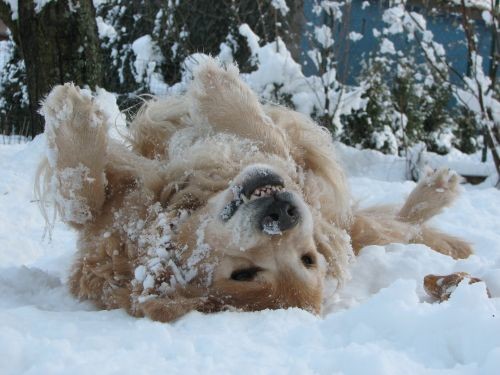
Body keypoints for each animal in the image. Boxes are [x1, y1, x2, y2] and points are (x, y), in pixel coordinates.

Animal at [36, 59, 472, 324]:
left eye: (306, 259)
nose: (282, 216)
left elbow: (267, 141)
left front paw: (217, 84)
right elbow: (82, 193)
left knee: (401, 226)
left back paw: (438, 192)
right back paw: (438, 188)